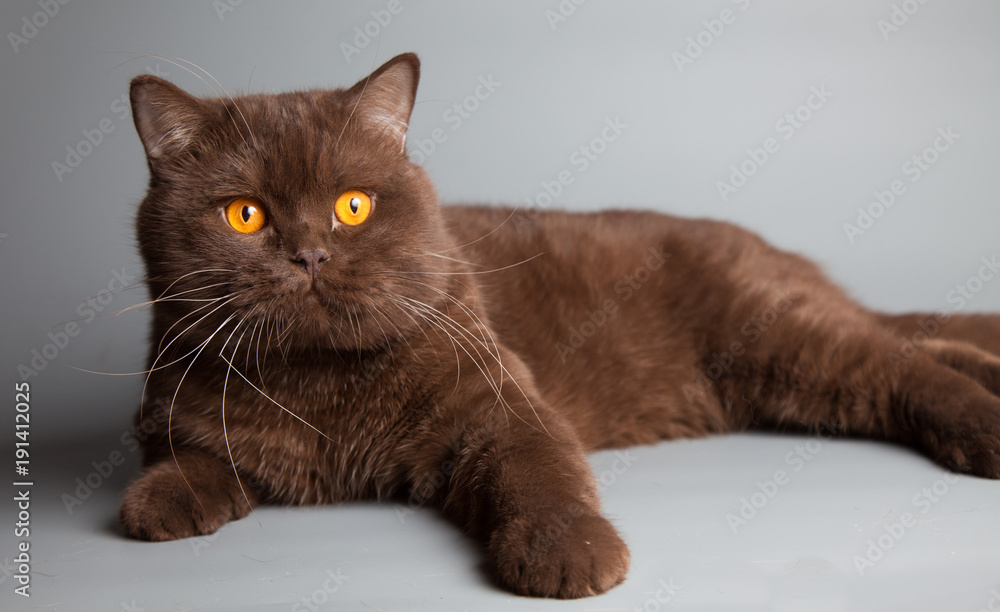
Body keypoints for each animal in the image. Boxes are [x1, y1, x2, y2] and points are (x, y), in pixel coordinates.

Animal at [123, 52, 1000, 596]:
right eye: (245, 214)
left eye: (354, 206)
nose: (309, 254)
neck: (317, 385)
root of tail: (777, 253)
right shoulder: (173, 401)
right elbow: (187, 454)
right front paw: (161, 501)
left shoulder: (499, 401)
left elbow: (539, 471)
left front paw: (572, 555)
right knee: (916, 341)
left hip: (779, 336)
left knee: (902, 362)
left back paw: (986, 428)